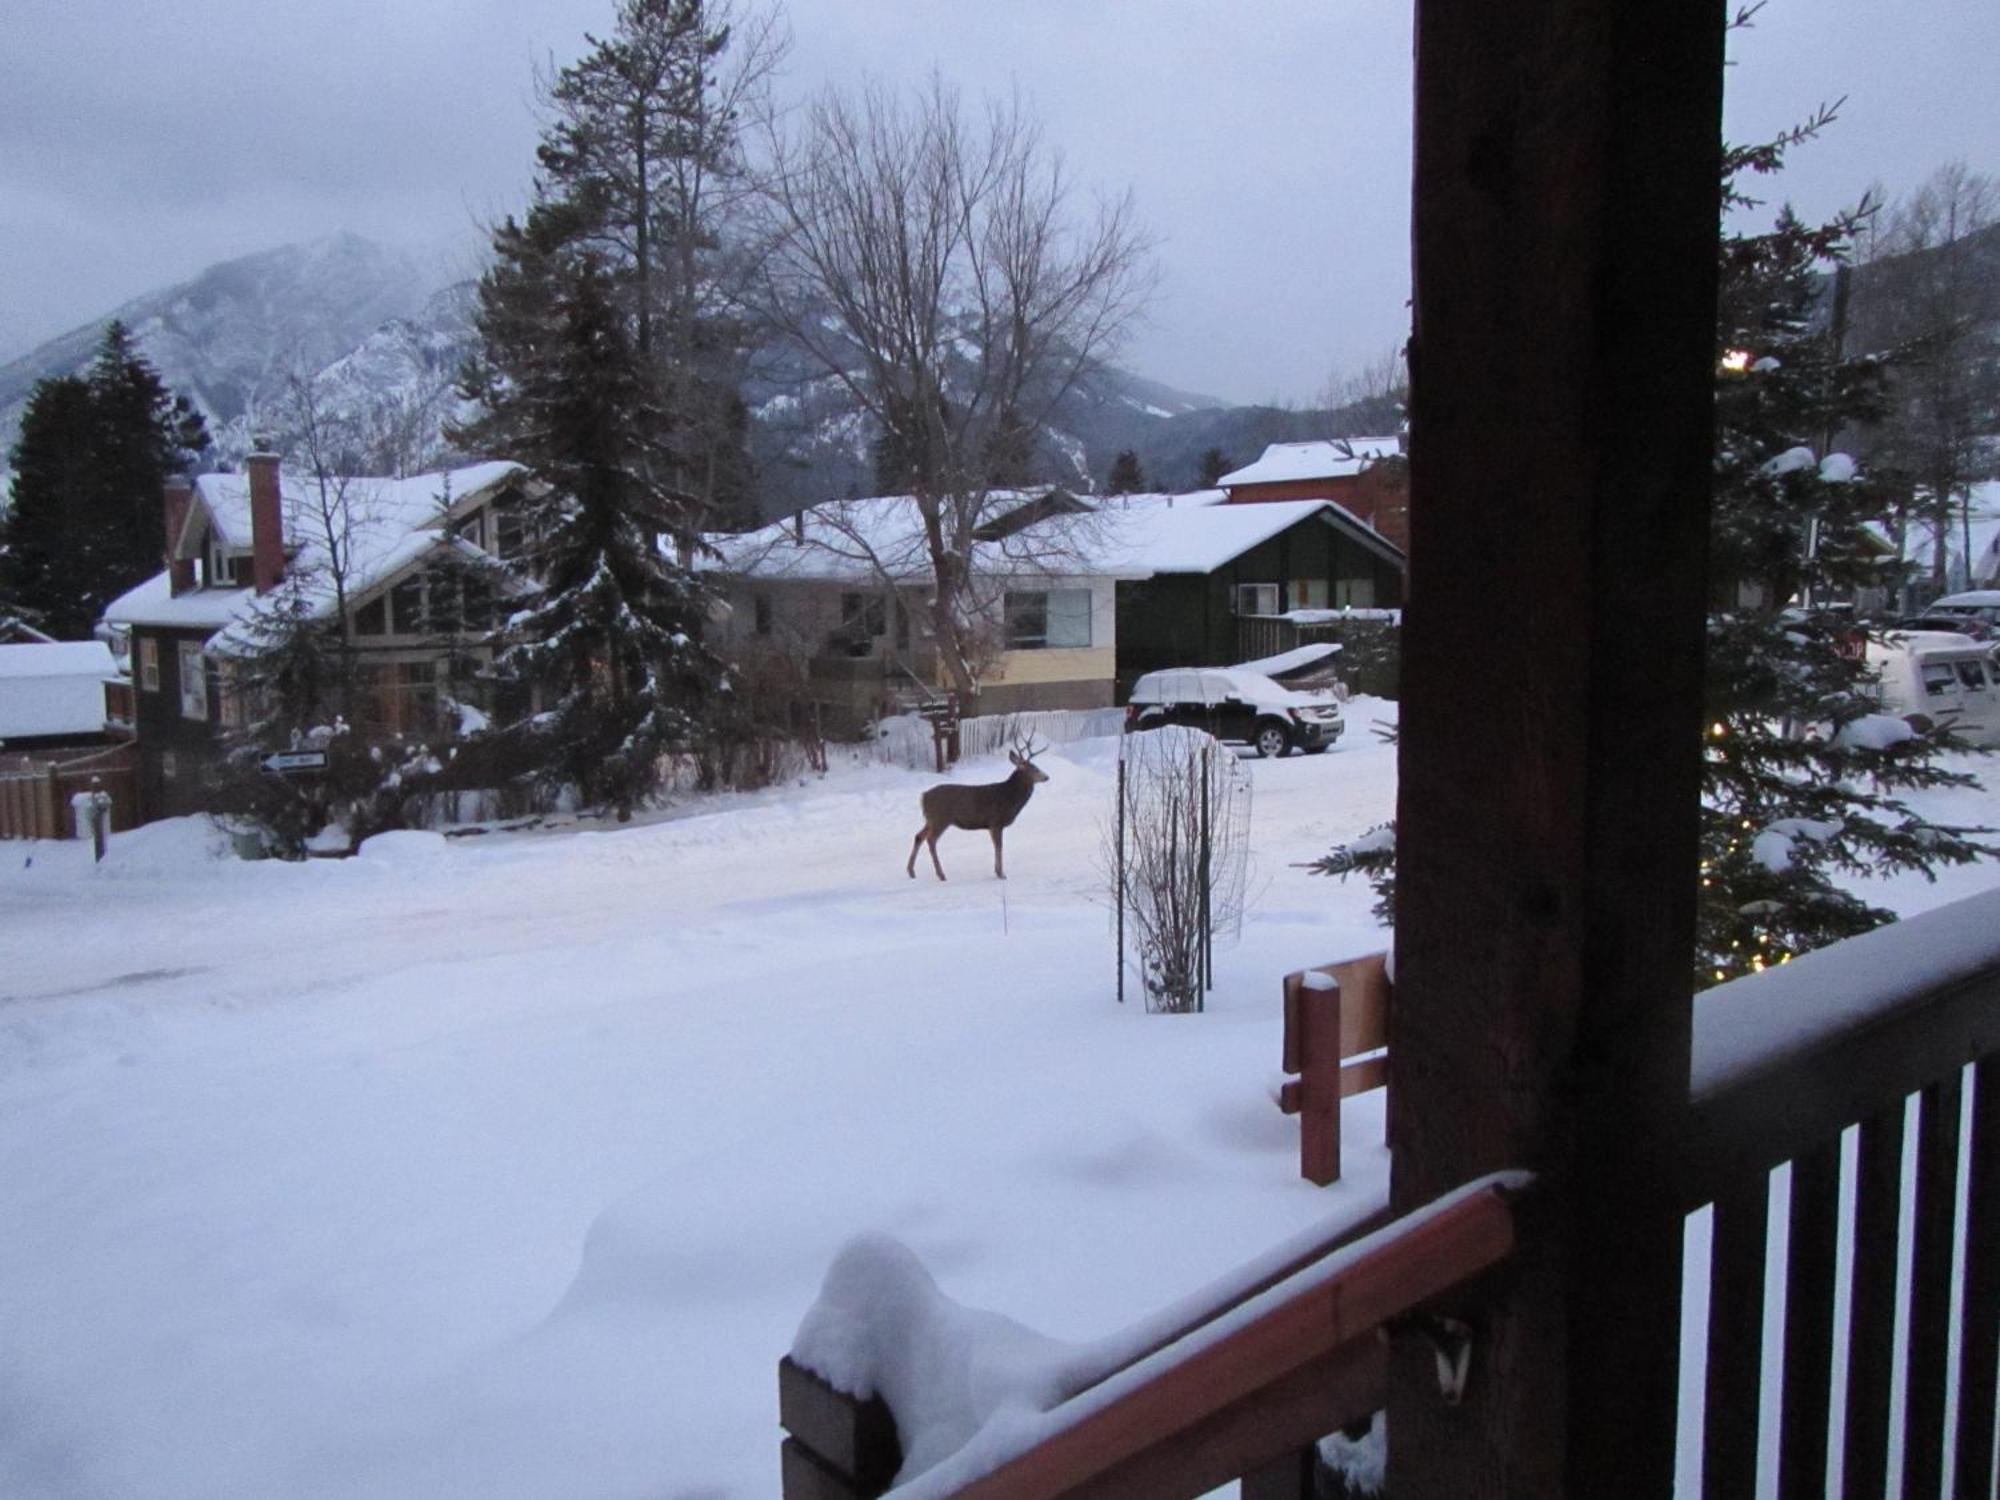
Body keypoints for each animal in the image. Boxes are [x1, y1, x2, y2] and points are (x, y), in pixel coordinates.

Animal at [912, 736, 1056, 880]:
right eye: (1033, 768)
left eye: (1036, 766)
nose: (1046, 777)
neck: (1010, 798)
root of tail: (923, 797)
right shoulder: (996, 822)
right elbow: (999, 846)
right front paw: (1001, 873)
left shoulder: (992, 825)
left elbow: (997, 846)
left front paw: (998, 871)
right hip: (941, 818)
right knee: (930, 840)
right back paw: (941, 874)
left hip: (930, 819)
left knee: (919, 836)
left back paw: (911, 871)